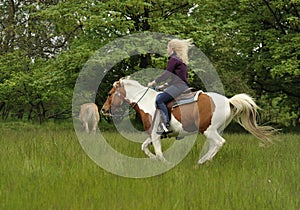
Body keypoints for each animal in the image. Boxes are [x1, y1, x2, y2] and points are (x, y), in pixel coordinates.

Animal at [101, 77, 276, 164]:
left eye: (109, 94)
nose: (103, 110)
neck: (147, 102)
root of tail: (229, 101)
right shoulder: (153, 135)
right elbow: (144, 147)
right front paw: (153, 159)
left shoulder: (156, 135)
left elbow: (159, 153)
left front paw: (164, 164)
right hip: (214, 130)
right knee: (214, 145)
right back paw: (205, 160)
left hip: (209, 130)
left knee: (219, 143)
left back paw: (201, 161)